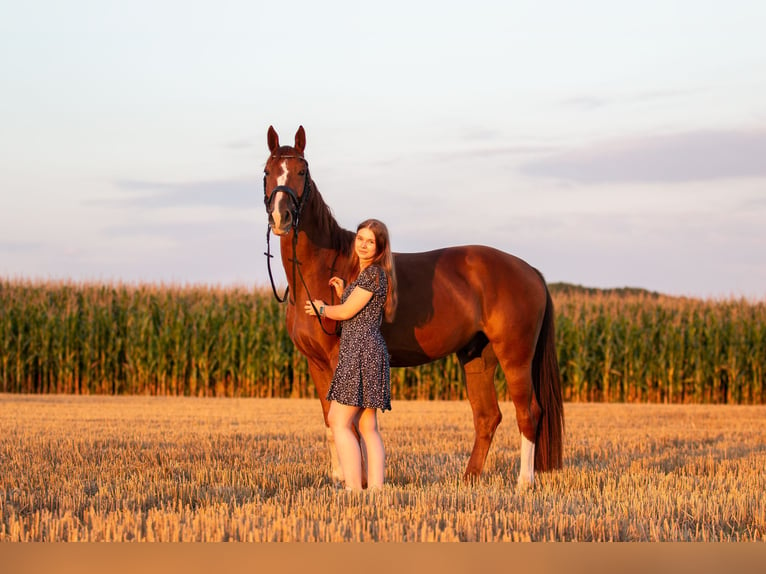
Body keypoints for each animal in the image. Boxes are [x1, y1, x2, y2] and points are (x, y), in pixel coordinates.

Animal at [264, 127, 564, 490]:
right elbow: (329, 419)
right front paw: (340, 477)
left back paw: (523, 482)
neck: (321, 270)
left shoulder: (338, 361)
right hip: (478, 357)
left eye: (302, 171)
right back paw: (469, 479)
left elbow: (349, 422)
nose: (281, 217)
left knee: (528, 411)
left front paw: (358, 481)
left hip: (515, 356)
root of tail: (530, 270)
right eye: (267, 171)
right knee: (487, 416)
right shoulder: (316, 364)